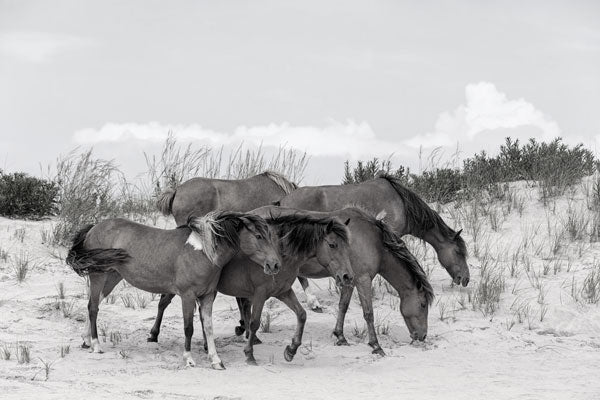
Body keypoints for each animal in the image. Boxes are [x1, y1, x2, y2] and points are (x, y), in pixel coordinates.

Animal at [65, 211, 282, 370]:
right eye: (258, 236)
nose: (275, 265)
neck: (203, 252)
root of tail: (94, 228)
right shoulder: (187, 295)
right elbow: (189, 328)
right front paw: (189, 359)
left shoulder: (207, 296)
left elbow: (208, 328)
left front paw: (216, 360)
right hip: (98, 275)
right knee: (93, 308)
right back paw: (96, 345)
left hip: (112, 276)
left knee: (93, 304)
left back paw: (86, 340)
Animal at [146, 206, 354, 366]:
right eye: (332, 245)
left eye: (348, 246)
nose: (347, 276)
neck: (280, 254)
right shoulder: (260, 294)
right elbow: (254, 322)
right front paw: (250, 354)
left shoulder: (283, 292)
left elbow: (302, 315)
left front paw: (291, 350)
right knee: (163, 303)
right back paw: (153, 335)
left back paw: (207, 345)